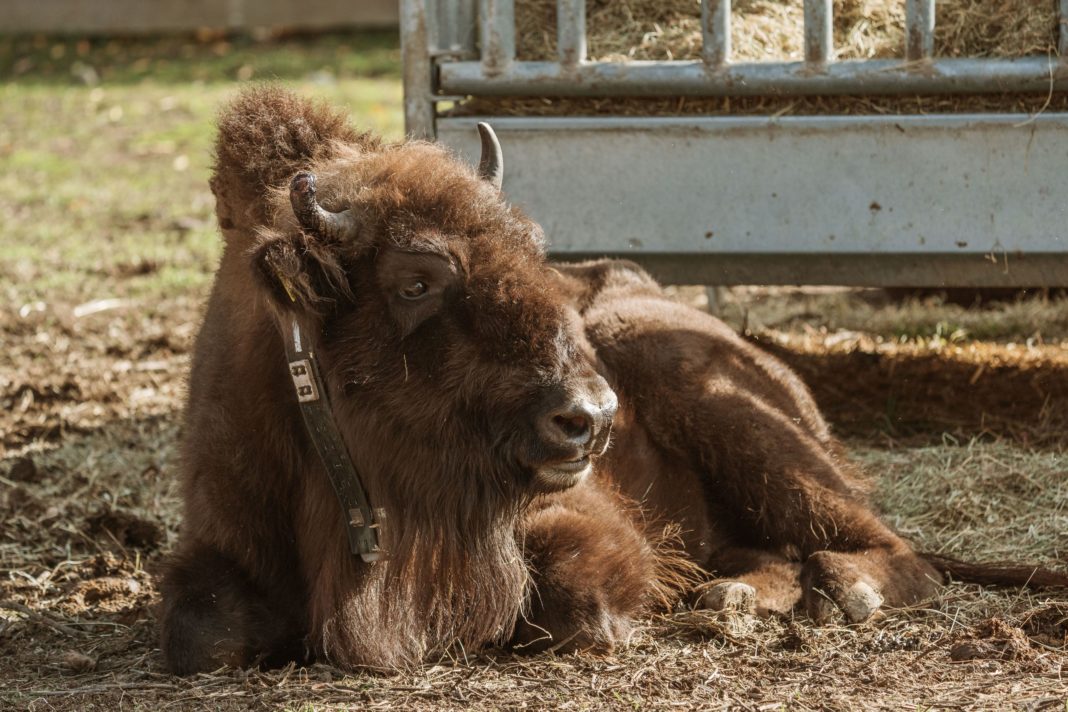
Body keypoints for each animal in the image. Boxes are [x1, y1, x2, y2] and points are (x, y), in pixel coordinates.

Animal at [160, 87, 1068, 674]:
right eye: (416, 279)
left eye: (532, 249)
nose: (593, 418)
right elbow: (200, 639)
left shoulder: (579, 520)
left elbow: (576, 605)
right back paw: (734, 601)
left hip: (733, 418)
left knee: (889, 547)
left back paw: (840, 591)